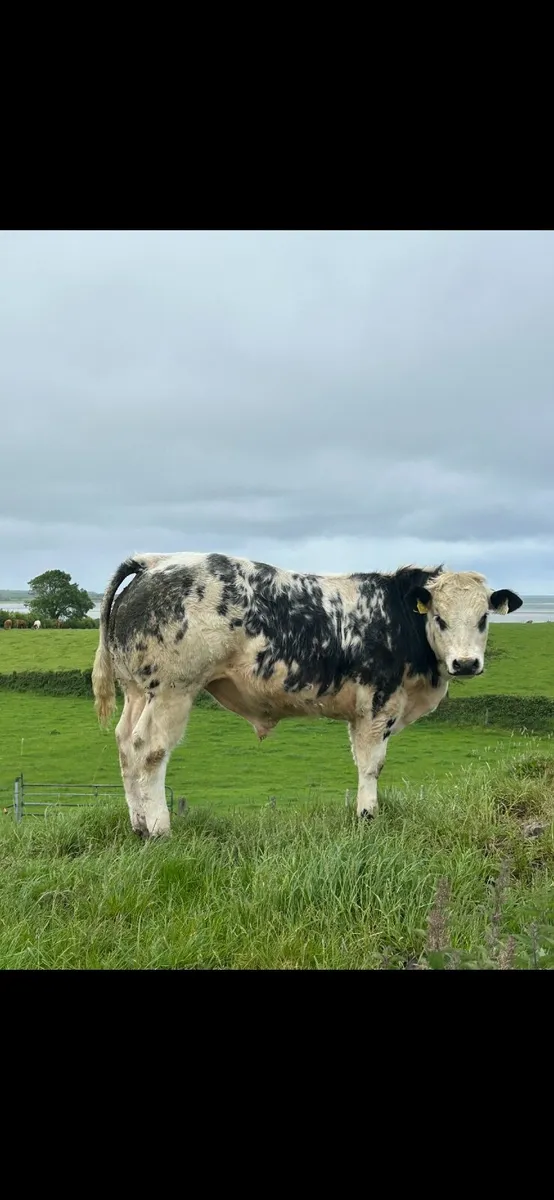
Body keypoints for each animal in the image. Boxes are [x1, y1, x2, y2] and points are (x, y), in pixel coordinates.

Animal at [92, 554, 522, 838]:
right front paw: (368, 815)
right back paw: (159, 827)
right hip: (172, 691)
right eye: (440, 619)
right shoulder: (377, 705)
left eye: (483, 618)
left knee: (125, 745)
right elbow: (371, 765)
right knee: (149, 749)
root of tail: (155, 562)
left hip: (137, 691)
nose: (465, 663)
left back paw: (138, 823)